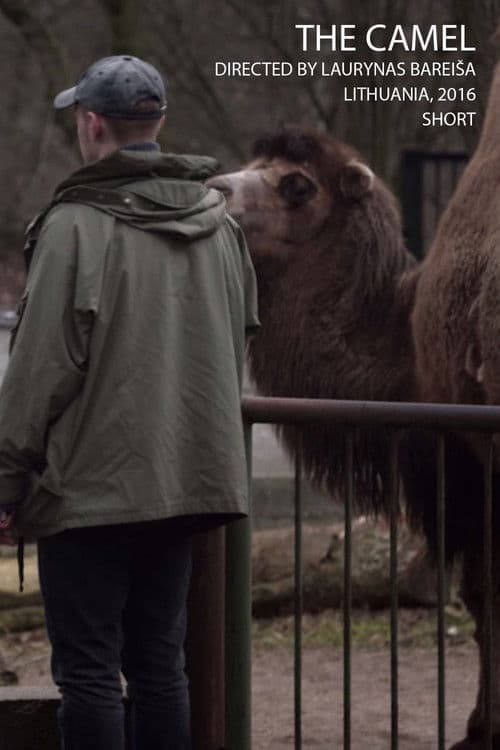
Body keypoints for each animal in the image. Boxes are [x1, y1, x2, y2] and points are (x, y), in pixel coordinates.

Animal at [206, 104, 500, 746]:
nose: (214, 189)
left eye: (297, 184)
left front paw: (479, 730)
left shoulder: (468, 462)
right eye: (251, 162)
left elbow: (485, 597)